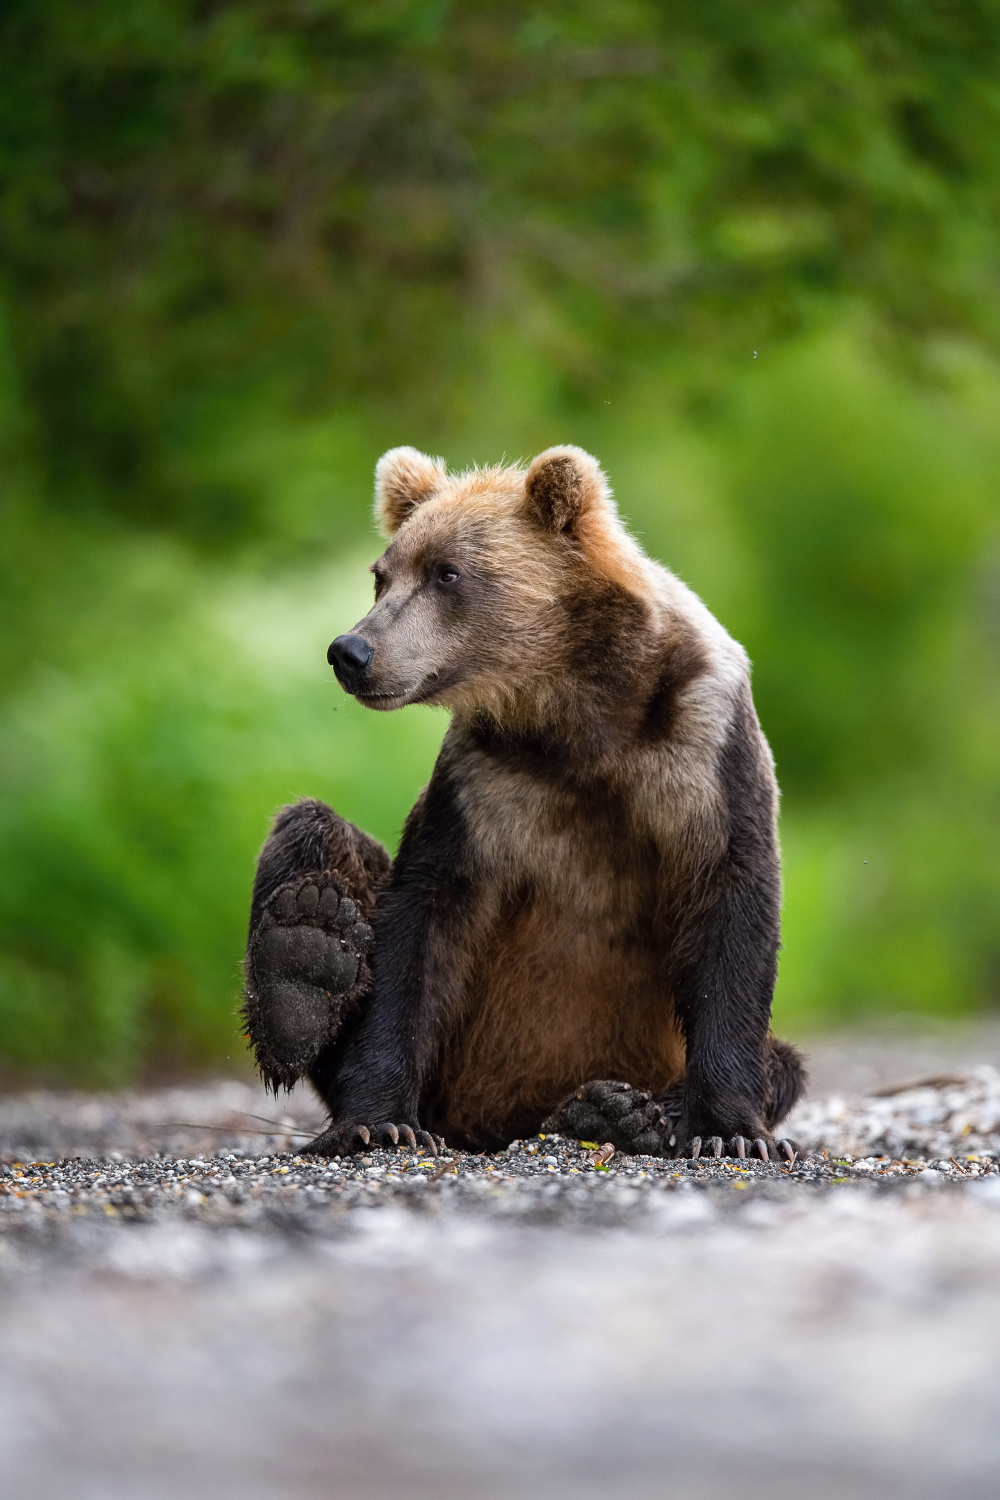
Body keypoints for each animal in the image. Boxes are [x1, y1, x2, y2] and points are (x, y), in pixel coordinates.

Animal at [242, 444, 803, 1158]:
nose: (352, 651)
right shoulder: (483, 784)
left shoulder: (703, 748)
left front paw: (729, 1132)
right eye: (382, 576)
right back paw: (304, 963)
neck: (574, 711)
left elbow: (732, 904)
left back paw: (620, 1112)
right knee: (309, 831)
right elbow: (420, 923)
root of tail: (499, 1121)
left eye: (447, 573)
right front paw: (377, 1121)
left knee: (784, 1062)